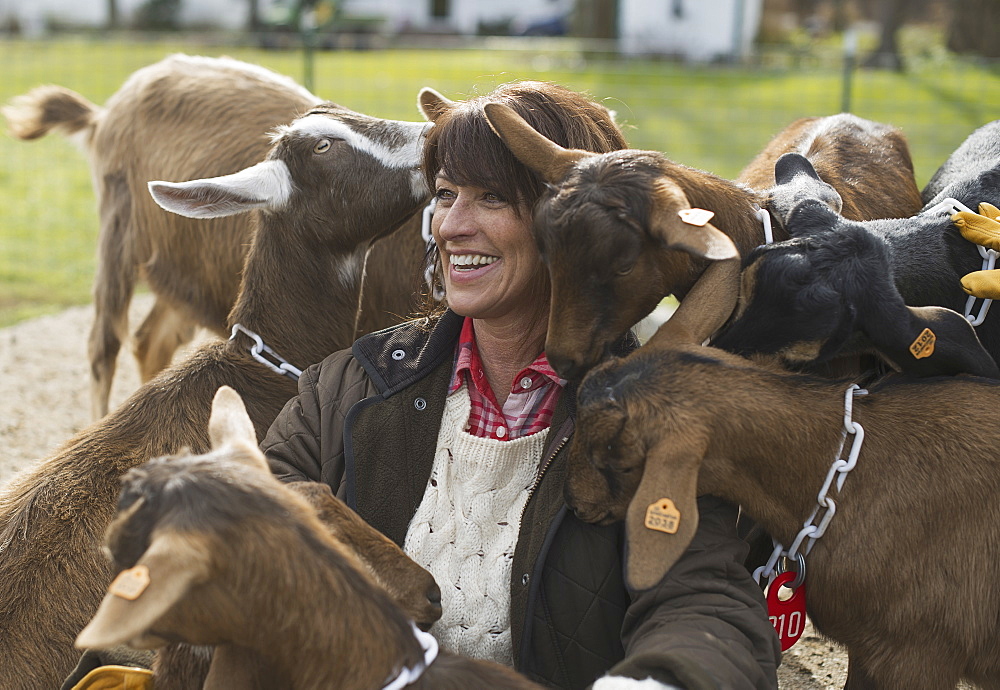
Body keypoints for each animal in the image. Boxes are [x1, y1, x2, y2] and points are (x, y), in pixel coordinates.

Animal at [0, 53, 424, 416]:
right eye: (323, 146)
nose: (429, 135)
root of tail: (102, 114)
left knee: (151, 341)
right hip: (117, 230)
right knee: (103, 348)